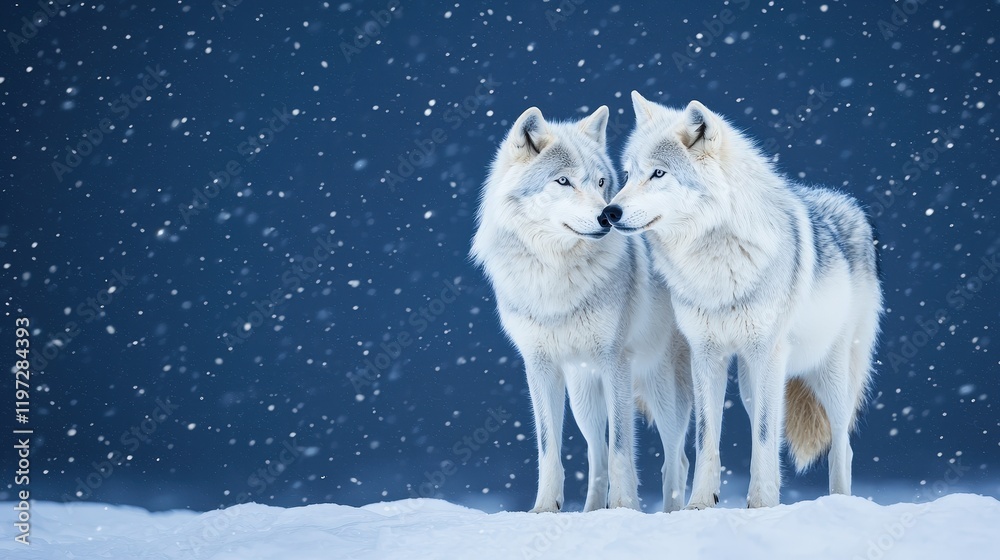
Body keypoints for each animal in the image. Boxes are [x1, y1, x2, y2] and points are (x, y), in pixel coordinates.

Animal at [472, 106, 692, 512]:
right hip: (583, 396)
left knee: (677, 457)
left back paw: (671, 513)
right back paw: (590, 511)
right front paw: (545, 509)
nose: (608, 215)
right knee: (596, 452)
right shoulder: (539, 367)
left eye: (602, 182)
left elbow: (621, 447)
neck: (556, 278)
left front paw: (624, 508)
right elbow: (550, 449)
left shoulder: (614, 362)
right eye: (563, 181)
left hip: (661, 389)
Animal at [602, 92, 882, 509]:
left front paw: (763, 503)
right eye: (630, 173)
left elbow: (766, 435)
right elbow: (707, 436)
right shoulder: (706, 354)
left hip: (828, 373)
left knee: (841, 444)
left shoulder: (767, 352)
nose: (609, 212)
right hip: (751, 383)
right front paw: (700, 503)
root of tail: (849, 205)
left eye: (659, 174)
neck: (717, 259)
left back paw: (839, 502)